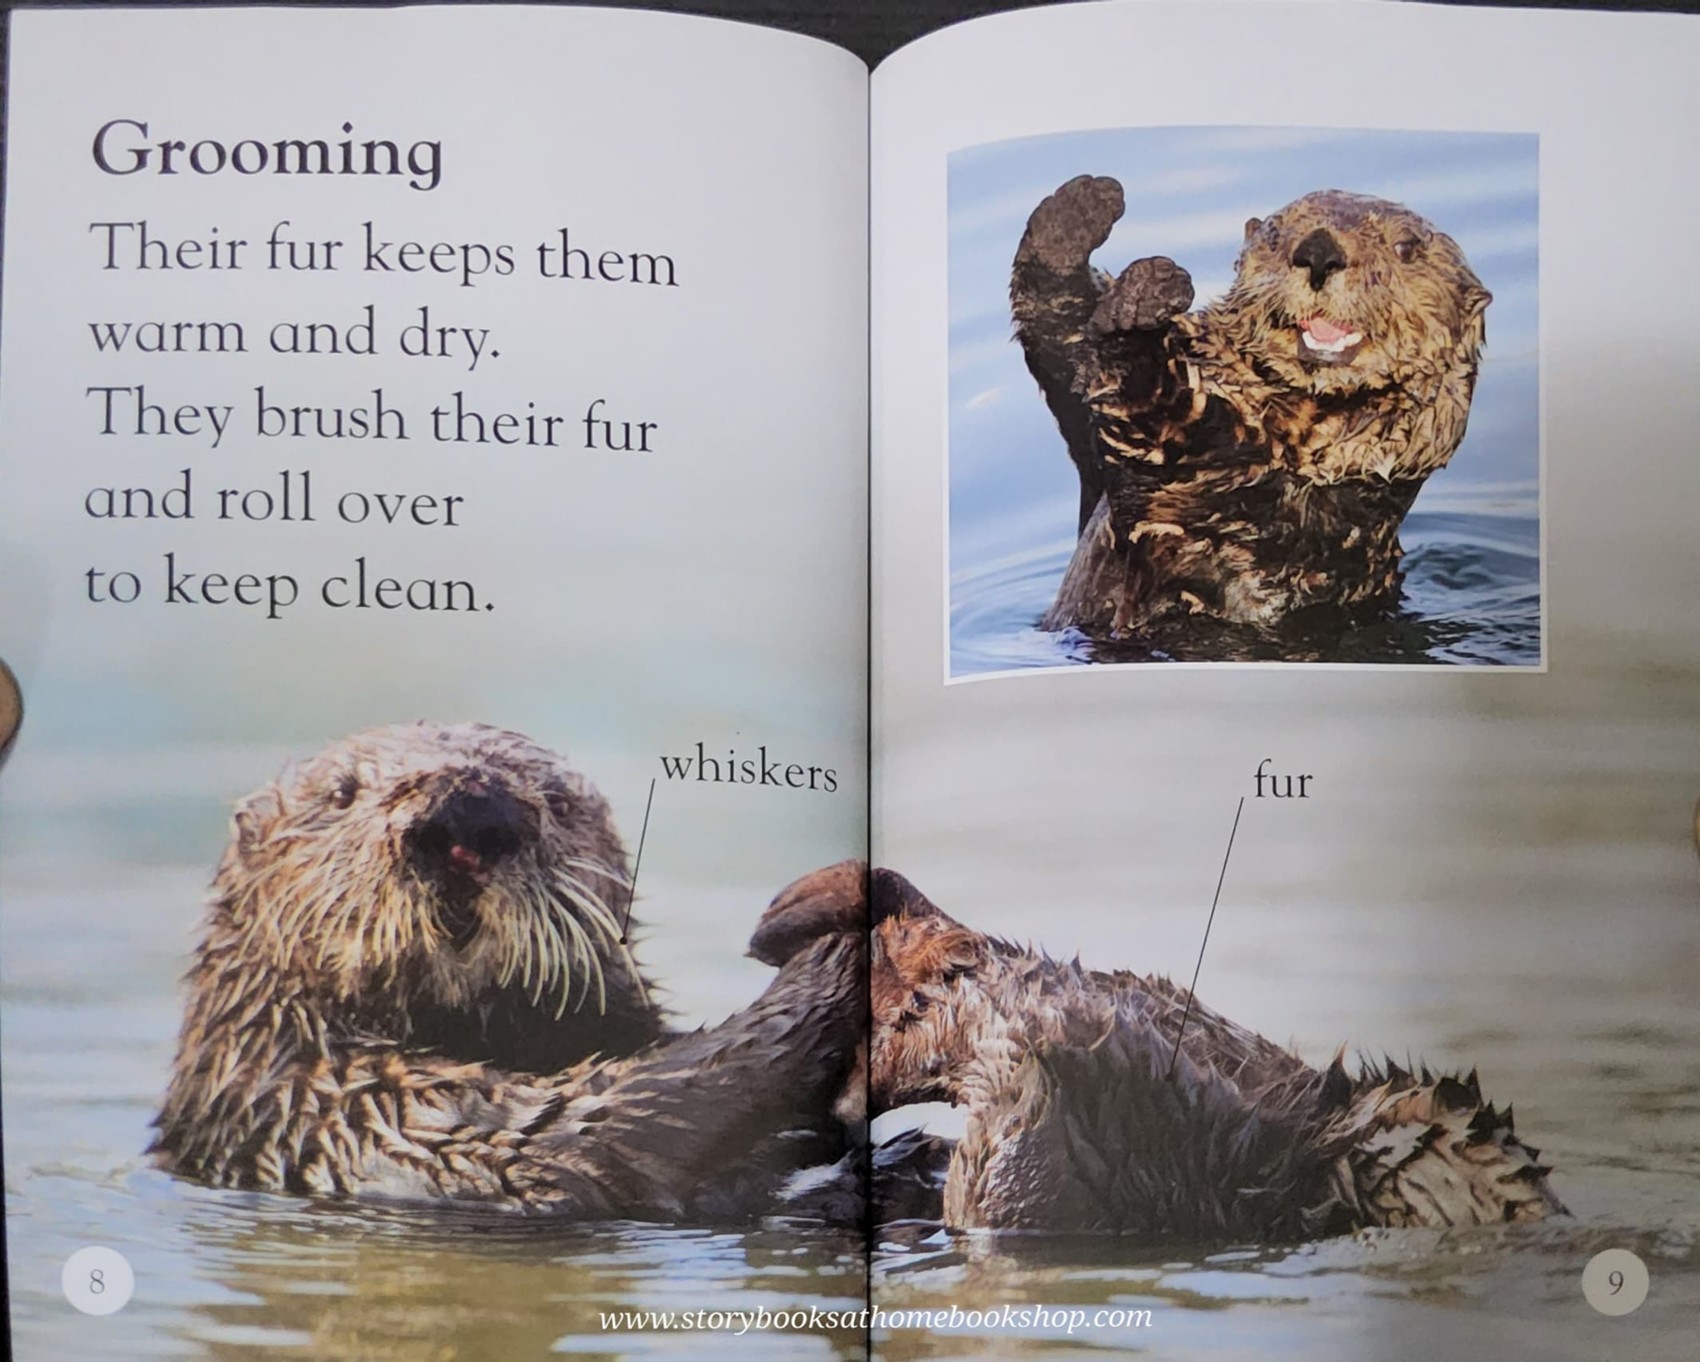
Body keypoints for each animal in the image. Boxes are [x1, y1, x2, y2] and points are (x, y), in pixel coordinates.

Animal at [152, 723, 866, 1219]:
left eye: (556, 798)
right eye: (341, 793)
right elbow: (579, 1129)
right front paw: (833, 939)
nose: (465, 814)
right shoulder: (338, 1113)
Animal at [1011, 176, 1491, 657]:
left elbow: (1154, 416)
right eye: (1275, 234)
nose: (1319, 252)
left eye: (1406, 247)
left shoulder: (1220, 481)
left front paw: (1141, 308)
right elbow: (1068, 354)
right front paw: (1078, 211)